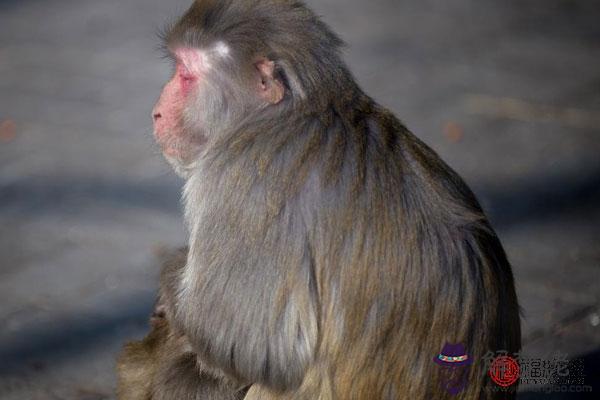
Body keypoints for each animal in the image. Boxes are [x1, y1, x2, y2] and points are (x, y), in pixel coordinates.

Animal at [137, 0, 520, 398]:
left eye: (184, 74)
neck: (287, 114)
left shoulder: (241, 178)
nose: (156, 112)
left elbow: (243, 344)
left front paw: (171, 277)